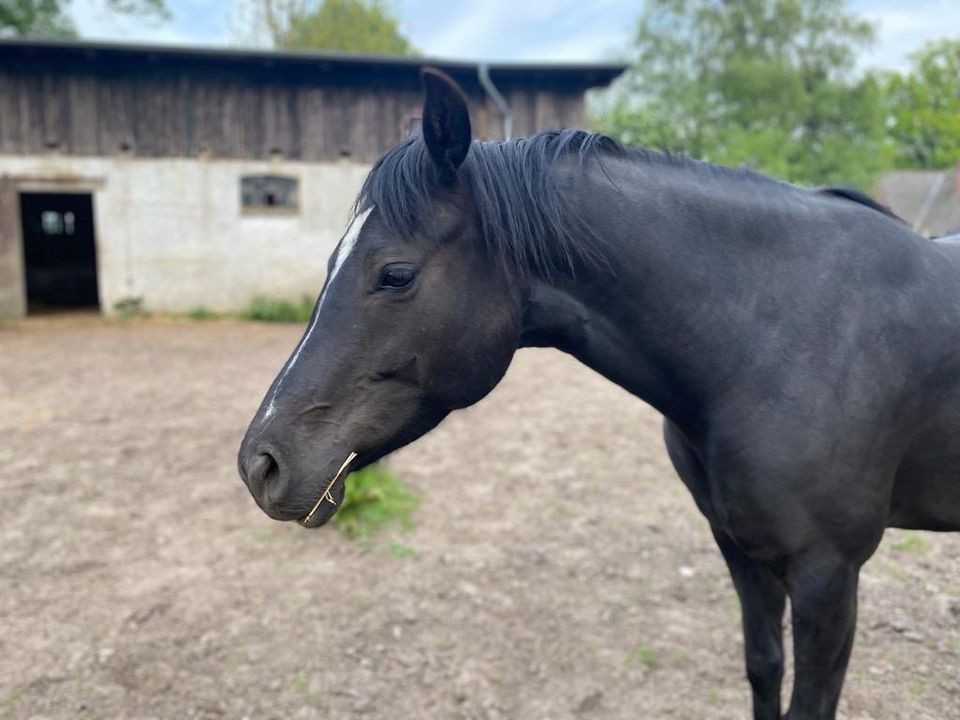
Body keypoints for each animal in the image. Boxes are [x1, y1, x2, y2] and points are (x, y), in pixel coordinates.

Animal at [238, 69, 960, 720]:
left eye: (395, 274)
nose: (259, 464)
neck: (781, 334)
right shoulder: (739, 548)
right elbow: (763, 669)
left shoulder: (828, 575)